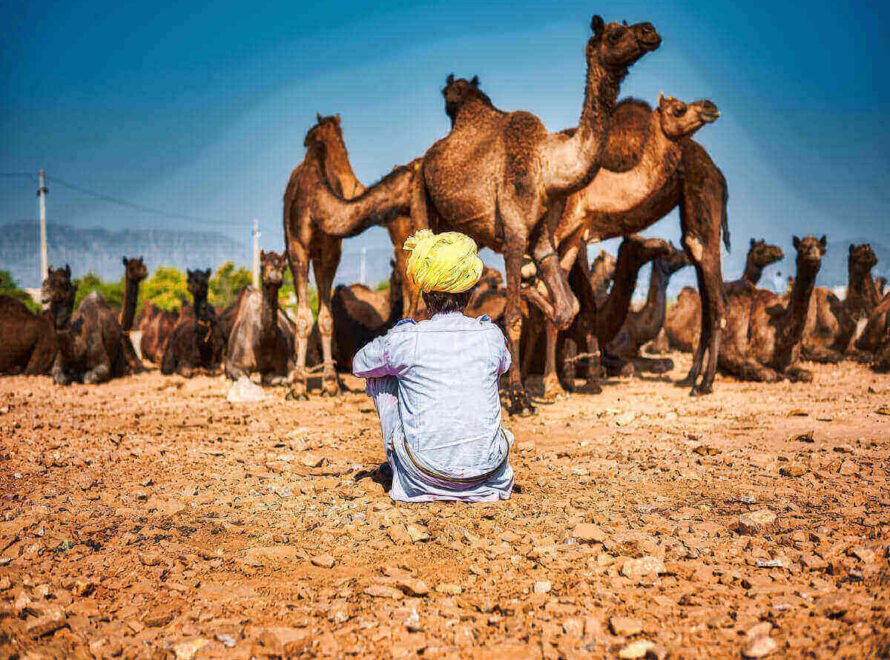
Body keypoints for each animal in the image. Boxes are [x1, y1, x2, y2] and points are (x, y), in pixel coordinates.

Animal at [225, 251, 294, 383]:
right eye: (262, 265)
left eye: (284, 267)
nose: (275, 275)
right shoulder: (233, 365)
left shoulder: (287, 366)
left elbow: (280, 377)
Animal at [283, 113, 419, 399]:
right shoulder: (297, 247)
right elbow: (302, 316)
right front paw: (298, 384)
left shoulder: (330, 252)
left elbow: (326, 318)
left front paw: (330, 383)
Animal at [412, 16, 662, 414]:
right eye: (614, 33)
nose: (649, 31)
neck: (549, 168)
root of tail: (426, 159)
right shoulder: (514, 236)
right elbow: (513, 317)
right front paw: (518, 397)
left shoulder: (542, 240)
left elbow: (567, 307)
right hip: (423, 197)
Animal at [718, 236, 826, 383]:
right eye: (802, 248)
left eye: (821, 248)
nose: (813, 257)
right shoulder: (747, 354)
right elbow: (768, 373)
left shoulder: (792, 363)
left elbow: (808, 375)